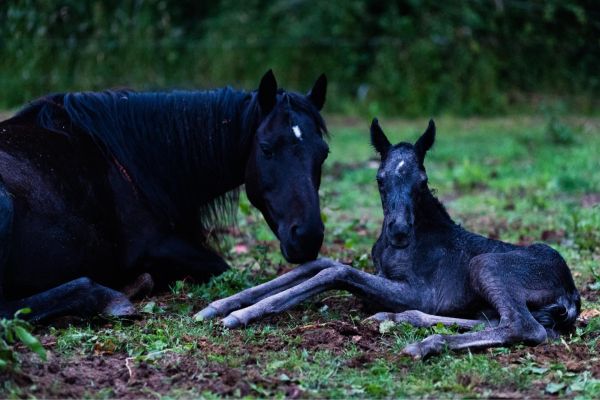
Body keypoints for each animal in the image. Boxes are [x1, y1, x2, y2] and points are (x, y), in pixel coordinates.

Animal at [198, 119, 580, 360]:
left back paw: (425, 344)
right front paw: (218, 305)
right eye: (380, 179)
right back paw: (396, 319)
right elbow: (322, 262)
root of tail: (571, 293)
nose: (398, 231)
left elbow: (337, 272)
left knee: (525, 327)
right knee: (504, 321)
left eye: (422, 181)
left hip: (485, 265)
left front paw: (241, 314)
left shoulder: (424, 292)